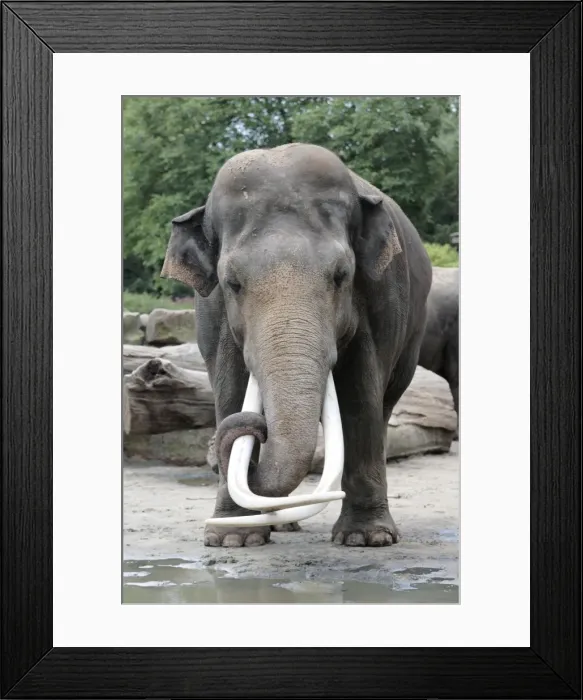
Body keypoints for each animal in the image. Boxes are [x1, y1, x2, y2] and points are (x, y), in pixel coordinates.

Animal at [161, 143, 432, 547]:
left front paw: (364, 538)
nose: (259, 428)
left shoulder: (382, 295)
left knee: (383, 406)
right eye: (232, 283)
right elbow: (230, 387)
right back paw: (278, 525)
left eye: (341, 276)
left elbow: (359, 393)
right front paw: (232, 537)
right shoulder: (210, 310)